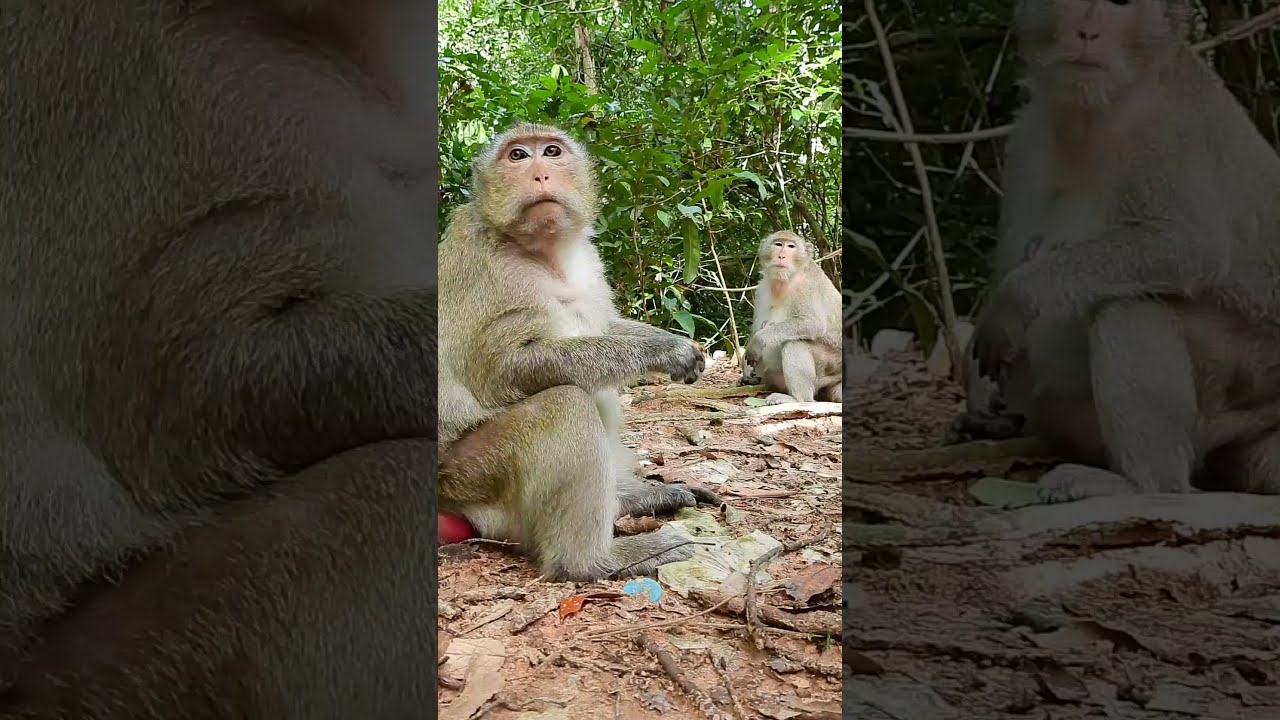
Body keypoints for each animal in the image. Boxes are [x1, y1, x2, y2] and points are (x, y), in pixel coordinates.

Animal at [436, 122, 722, 583]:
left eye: (552, 152)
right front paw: (666, 349)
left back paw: (634, 499)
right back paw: (595, 560)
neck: (542, 252)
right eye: (518, 156)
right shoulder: (486, 269)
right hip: (471, 474)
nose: (540, 173)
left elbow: (603, 324)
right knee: (566, 402)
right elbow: (502, 370)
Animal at [742, 230, 843, 405]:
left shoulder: (806, 287)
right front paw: (746, 368)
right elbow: (757, 327)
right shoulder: (761, 290)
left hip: (831, 366)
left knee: (794, 342)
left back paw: (797, 398)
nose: (781, 256)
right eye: (778, 244)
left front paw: (759, 340)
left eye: (790, 246)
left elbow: (812, 323)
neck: (784, 282)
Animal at [965, 0, 1280, 504]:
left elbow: (1187, 245)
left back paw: (1139, 482)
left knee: (1128, 305)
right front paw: (976, 385)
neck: (1093, 115)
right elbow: (1010, 255)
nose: (1087, 32)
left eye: (1120, 5)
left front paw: (1019, 296)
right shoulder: (1027, 140)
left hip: (1247, 376)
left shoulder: (1163, 129)